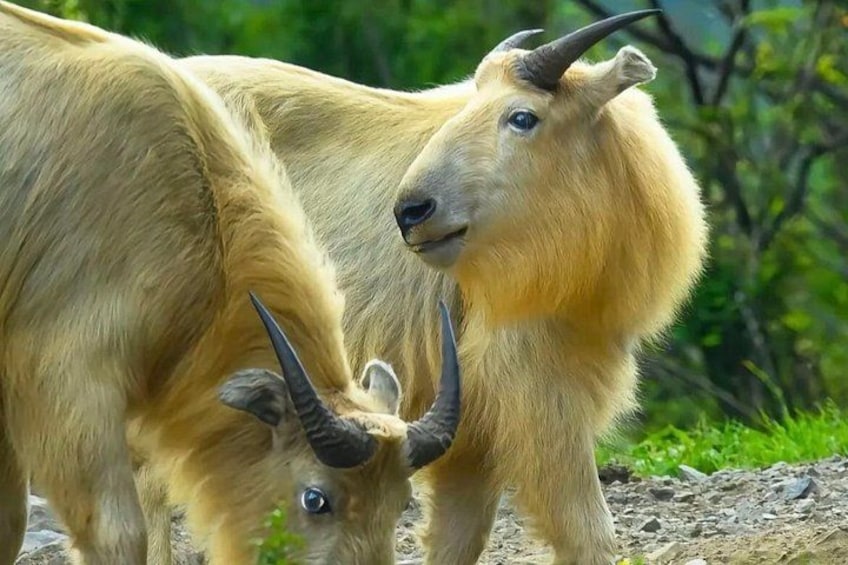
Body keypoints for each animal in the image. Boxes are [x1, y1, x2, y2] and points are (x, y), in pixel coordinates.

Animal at [180, 9, 709, 564]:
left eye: (523, 117)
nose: (410, 211)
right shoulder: (536, 393)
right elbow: (587, 529)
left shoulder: (468, 426)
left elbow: (460, 533)